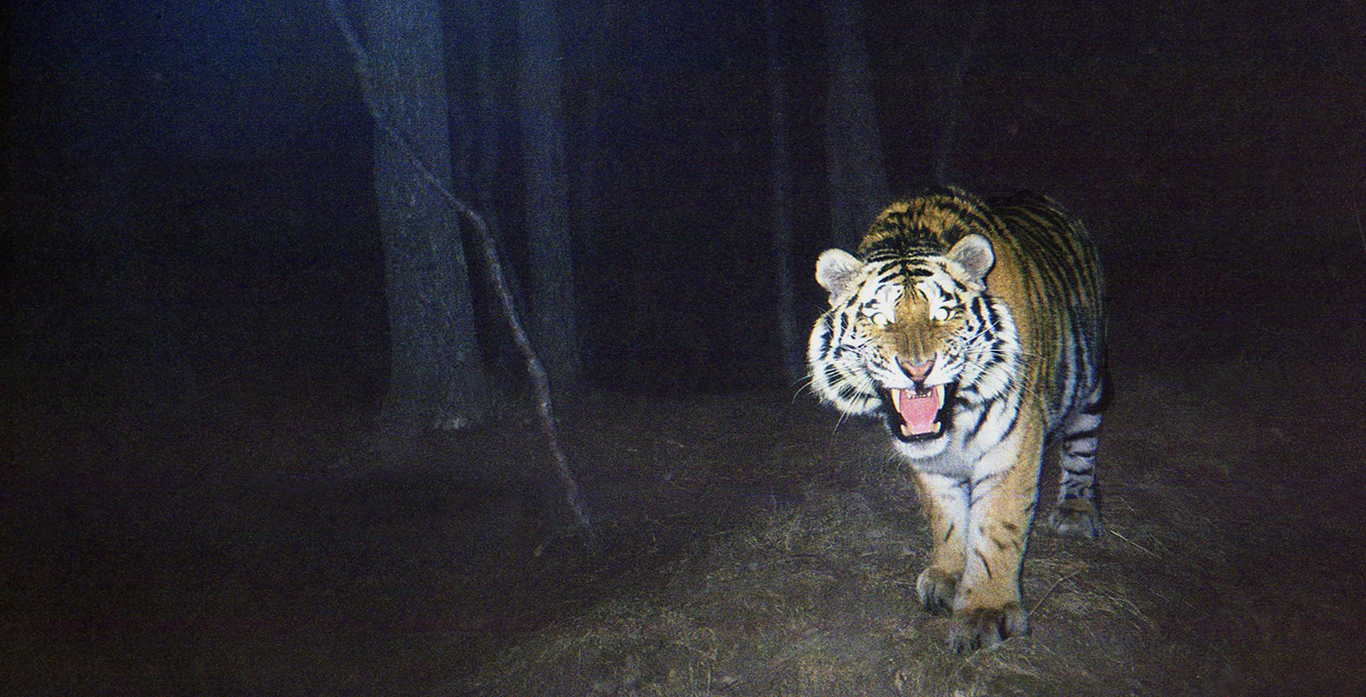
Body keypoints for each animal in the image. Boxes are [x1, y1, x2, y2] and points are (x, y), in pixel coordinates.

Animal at [807, 186, 1108, 651]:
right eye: (879, 319)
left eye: (942, 314)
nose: (917, 369)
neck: (952, 421)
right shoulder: (929, 464)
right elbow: (947, 520)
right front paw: (948, 579)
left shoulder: (1014, 439)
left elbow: (998, 526)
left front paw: (987, 612)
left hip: (1091, 381)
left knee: (1082, 447)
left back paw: (1076, 511)